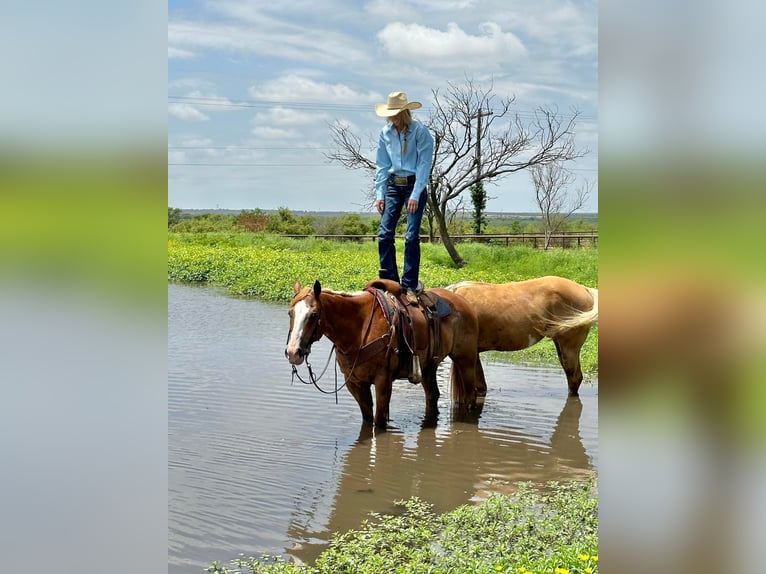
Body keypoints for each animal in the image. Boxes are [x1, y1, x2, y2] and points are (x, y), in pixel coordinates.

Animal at [284, 280, 484, 428]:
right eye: (290, 312)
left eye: (313, 314)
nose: (293, 352)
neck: (360, 326)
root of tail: (462, 300)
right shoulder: (354, 383)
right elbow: (367, 420)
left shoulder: (383, 381)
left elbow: (379, 422)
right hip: (428, 367)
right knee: (433, 395)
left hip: (465, 360)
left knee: (470, 396)